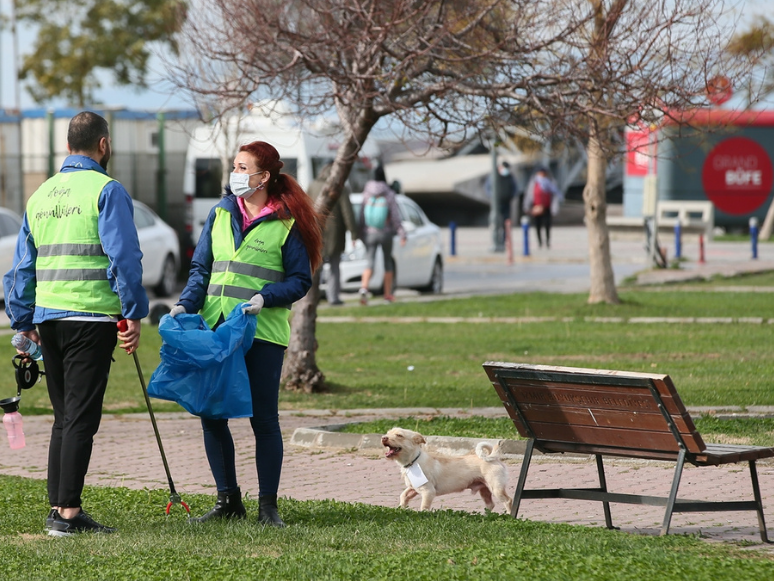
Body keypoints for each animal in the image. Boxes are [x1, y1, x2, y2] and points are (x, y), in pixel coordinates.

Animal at [378, 426, 512, 512]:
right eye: (388, 433)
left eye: (399, 435)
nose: (383, 437)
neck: (413, 461)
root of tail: (494, 459)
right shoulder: (413, 488)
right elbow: (403, 495)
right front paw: (402, 507)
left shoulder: (428, 492)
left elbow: (424, 507)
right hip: (484, 489)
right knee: (490, 505)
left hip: (496, 488)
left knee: (508, 501)